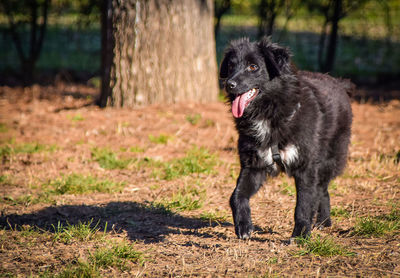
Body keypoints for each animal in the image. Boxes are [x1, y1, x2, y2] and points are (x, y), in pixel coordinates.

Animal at [219, 37, 354, 239]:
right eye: (231, 65)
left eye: (253, 66)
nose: (229, 84)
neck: (271, 113)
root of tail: (338, 83)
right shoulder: (254, 164)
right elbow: (236, 195)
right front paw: (243, 226)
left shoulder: (306, 167)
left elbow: (303, 204)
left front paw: (300, 235)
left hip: (329, 160)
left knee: (322, 190)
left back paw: (323, 221)